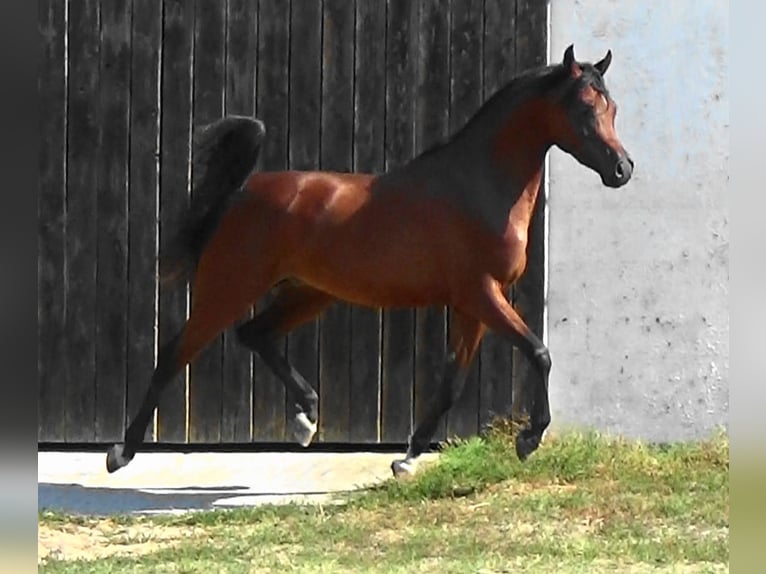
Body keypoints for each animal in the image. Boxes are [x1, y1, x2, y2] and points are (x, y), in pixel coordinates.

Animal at [106, 45, 633, 477]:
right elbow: (539, 353)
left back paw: (306, 419)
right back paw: (122, 452)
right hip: (228, 288)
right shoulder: (480, 293)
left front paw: (409, 457)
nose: (622, 169)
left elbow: (452, 383)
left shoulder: (476, 303)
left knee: (255, 334)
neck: (478, 185)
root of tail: (240, 194)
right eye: (585, 107)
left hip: (309, 293)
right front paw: (529, 439)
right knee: (174, 353)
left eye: (612, 107)